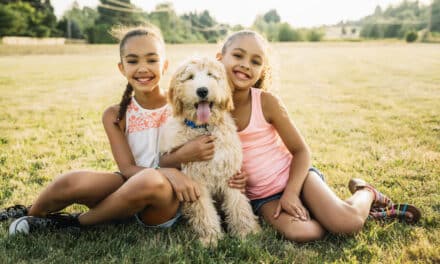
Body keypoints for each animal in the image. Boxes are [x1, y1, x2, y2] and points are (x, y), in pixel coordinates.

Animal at [159, 57, 260, 245]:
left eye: (211, 75)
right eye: (190, 77)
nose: (202, 90)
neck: (204, 127)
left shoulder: (230, 173)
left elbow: (238, 204)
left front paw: (246, 231)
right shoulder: (195, 180)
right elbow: (203, 210)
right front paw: (211, 237)